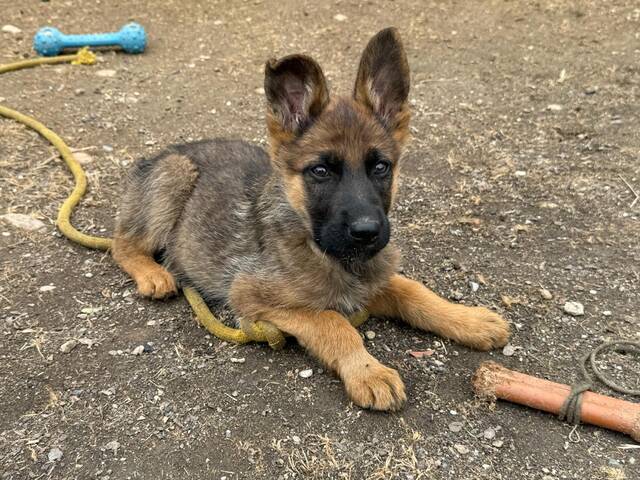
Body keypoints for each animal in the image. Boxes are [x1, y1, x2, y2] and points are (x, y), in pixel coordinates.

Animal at [112, 28, 510, 411]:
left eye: (381, 167)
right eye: (320, 171)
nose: (367, 232)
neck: (322, 248)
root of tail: (160, 155)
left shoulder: (372, 281)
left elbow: (414, 292)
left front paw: (468, 319)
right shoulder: (254, 298)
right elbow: (332, 323)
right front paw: (369, 372)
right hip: (175, 173)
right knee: (122, 243)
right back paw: (152, 274)